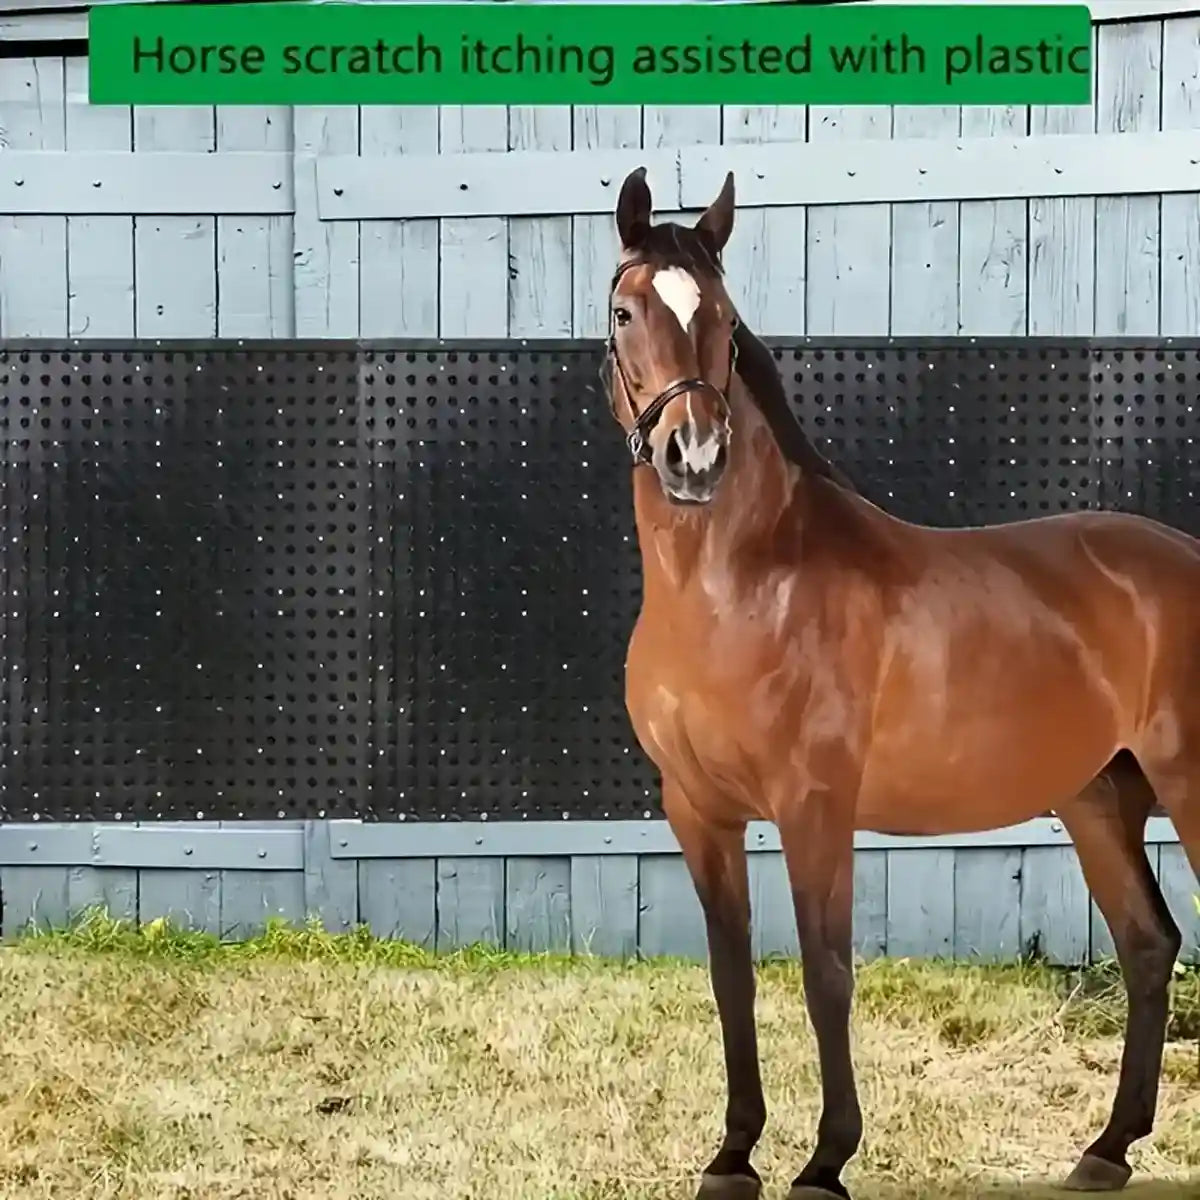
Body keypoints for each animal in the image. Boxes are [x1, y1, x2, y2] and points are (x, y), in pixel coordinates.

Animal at [604, 164, 1200, 1200]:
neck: (739, 586)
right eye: (626, 310)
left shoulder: (814, 806)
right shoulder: (698, 810)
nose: (694, 457)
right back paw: (1107, 1149)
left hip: (1192, 785)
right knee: (1146, 944)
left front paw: (825, 1160)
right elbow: (730, 977)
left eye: (722, 316)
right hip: (1098, 798)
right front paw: (733, 1154)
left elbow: (826, 971)